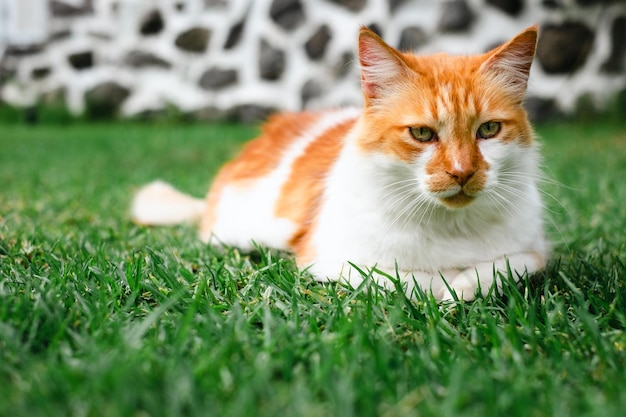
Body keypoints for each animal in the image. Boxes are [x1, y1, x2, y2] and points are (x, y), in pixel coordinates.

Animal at [130, 25, 544, 300]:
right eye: (422, 134)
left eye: (488, 130)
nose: (462, 172)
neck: (450, 224)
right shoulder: (333, 261)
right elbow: (415, 280)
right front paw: (445, 288)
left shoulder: (534, 255)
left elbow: (493, 270)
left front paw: (462, 286)